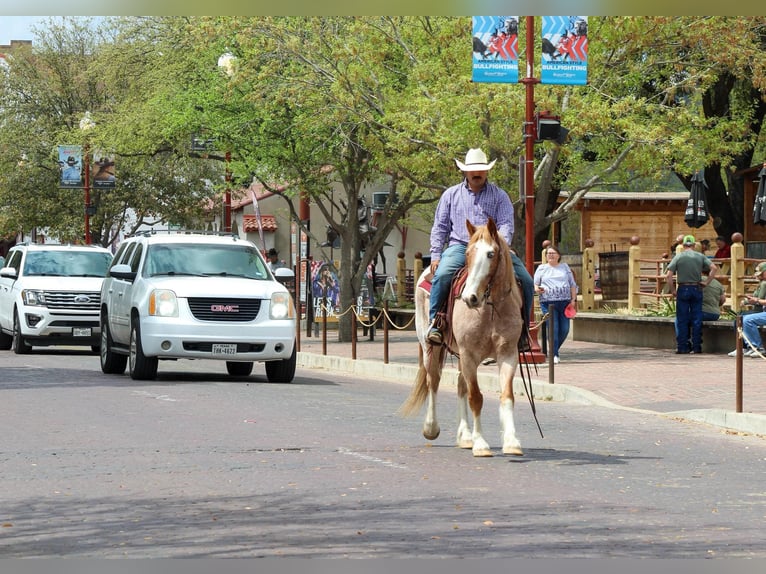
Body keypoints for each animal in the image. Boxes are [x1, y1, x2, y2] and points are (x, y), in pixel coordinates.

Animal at [399, 218, 525, 457]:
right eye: (468, 253)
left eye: (491, 254)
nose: (470, 297)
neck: (490, 307)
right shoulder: (469, 355)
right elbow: (475, 397)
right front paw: (481, 444)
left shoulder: (508, 354)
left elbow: (507, 395)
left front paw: (512, 441)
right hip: (431, 348)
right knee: (433, 381)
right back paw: (431, 428)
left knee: (460, 386)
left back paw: (466, 436)